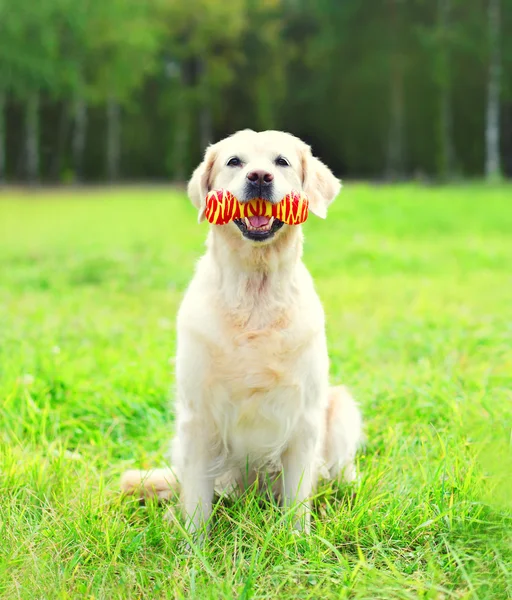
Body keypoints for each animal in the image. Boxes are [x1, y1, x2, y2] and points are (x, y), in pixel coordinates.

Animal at [123, 130, 364, 536]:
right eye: (234, 161)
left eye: (281, 161)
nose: (260, 177)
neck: (255, 290)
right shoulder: (198, 415)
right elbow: (197, 502)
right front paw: (192, 544)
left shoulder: (303, 416)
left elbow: (297, 498)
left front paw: (297, 541)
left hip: (341, 405)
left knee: (338, 471)